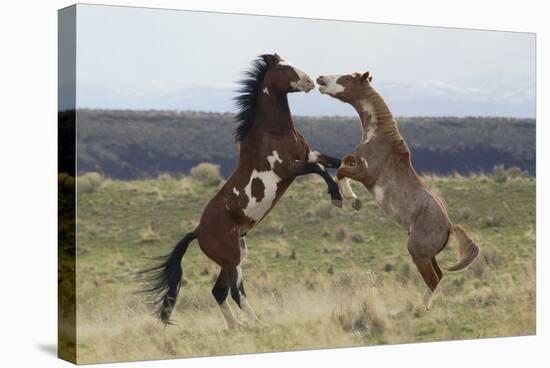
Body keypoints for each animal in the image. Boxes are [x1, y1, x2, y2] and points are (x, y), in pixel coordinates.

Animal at [140, 54, 342, 328]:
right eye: (284, 69)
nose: (311, 81)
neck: (273, 132)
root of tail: (197, 231)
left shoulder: (309, 154)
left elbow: (337, 162)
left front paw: (351, 193)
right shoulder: (290, 168)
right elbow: (320, 169)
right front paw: (336, 196)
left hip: (234, 258)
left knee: (218, 292)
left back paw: (237, 327)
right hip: (232, 259)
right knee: (236, 293)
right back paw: (258, 324)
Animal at [316, 71, 480, 308]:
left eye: (345, 79)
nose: (320, 78)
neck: (378, 138)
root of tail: (449, 226)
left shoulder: (366, 174)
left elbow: (340, 171)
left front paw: (352, 199)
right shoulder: (357, 163)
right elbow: (344, 161)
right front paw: (353, 199)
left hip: (417, 252)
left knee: (433, 279)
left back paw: (419, 309)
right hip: (428, 255)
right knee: (439, 276)